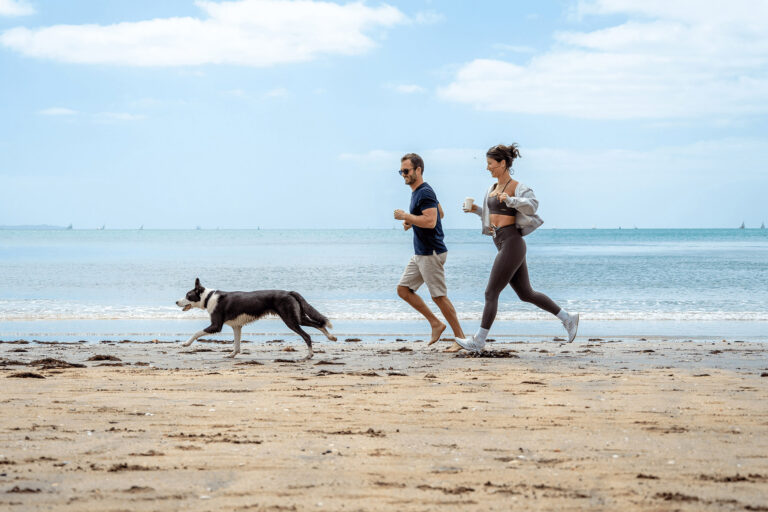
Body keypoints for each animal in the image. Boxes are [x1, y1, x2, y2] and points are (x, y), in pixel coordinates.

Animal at [180, 276, 340, 360]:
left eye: (188, 295)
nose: (176, 302)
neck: (208, 298)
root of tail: (289, 292)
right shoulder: (236, 326)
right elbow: (236, 344)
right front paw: (232, 354)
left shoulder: (216, 326)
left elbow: (196, 333)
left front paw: (186, 343)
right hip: (298, 317)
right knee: (319, 324)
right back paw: (331, 337)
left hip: (290, 320)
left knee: (307, 335)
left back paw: (309, 355)